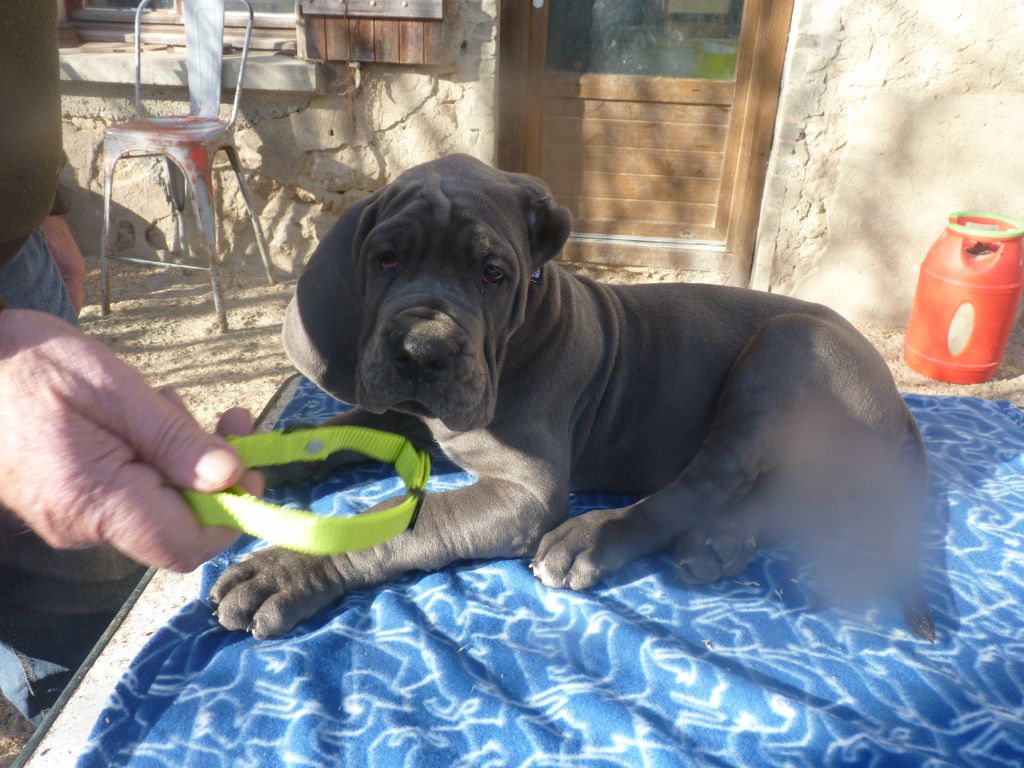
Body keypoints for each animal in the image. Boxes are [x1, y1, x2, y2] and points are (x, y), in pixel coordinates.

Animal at [210, 154, 934, 641]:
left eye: (493, 273)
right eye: (385, 259)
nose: (423, 353)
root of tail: (900, 407)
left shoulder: (523, 491)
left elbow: (408, 518)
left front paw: (281, 571)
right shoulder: (412, 418)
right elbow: (337, 427)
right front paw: (256, 453)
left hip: (786, 345)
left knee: (707, 481)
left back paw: (593, 539)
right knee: (785, 497)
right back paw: (720, 542)